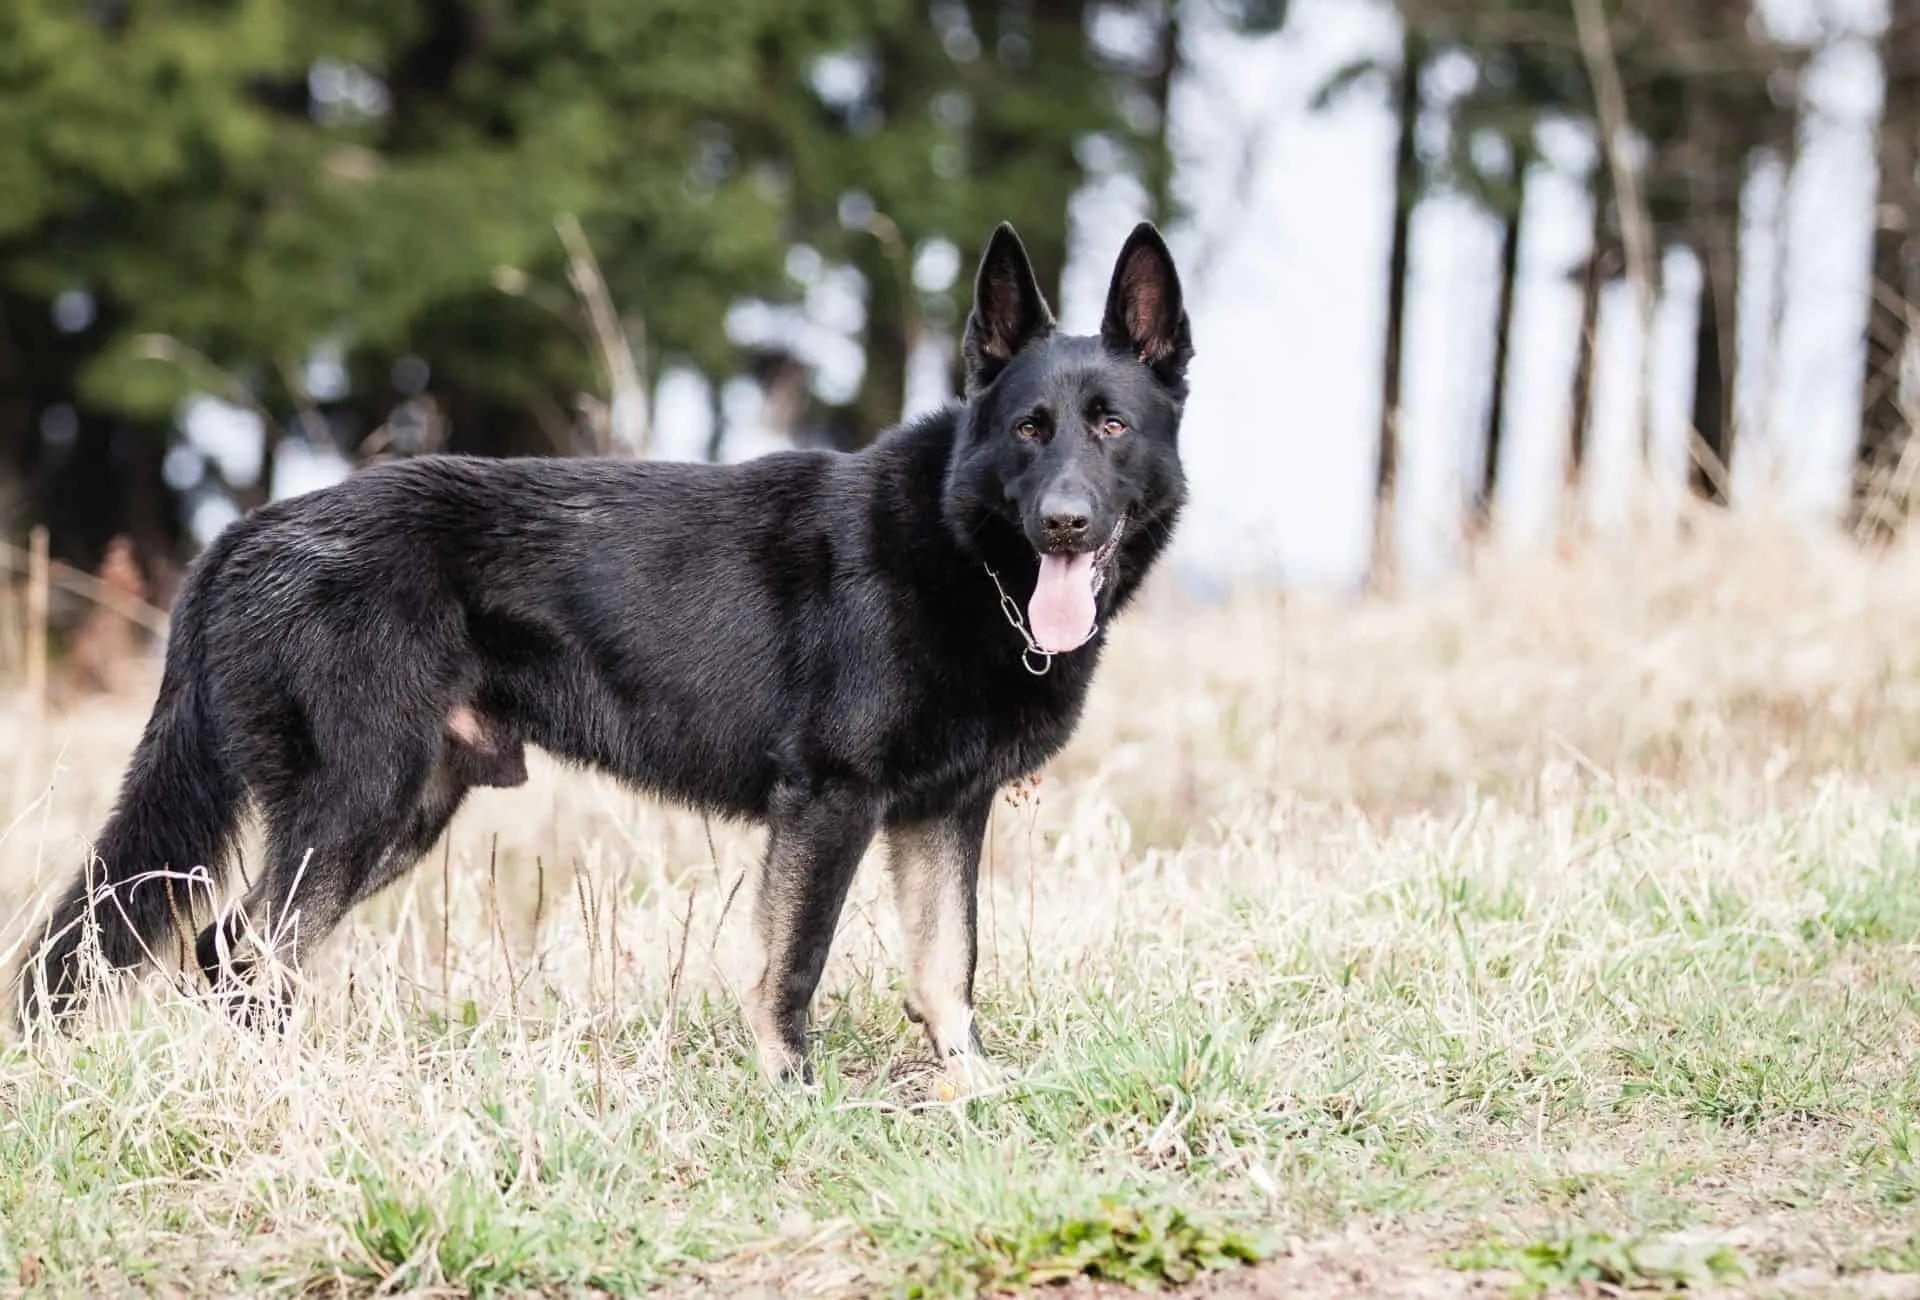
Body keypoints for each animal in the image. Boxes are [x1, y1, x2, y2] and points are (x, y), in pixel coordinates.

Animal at [15, 222, 1190, 1083]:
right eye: (1030, 428)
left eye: (1111, 428)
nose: (1066, 525)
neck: (959, 547)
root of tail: (246, 530)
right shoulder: (829, 803)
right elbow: (792, 970)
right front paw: (792, 1095)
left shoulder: (941, 816)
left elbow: (949, 966)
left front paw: (971, 1090)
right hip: (358, 802)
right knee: (252, 947)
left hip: (402, 813)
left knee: (232, 950)